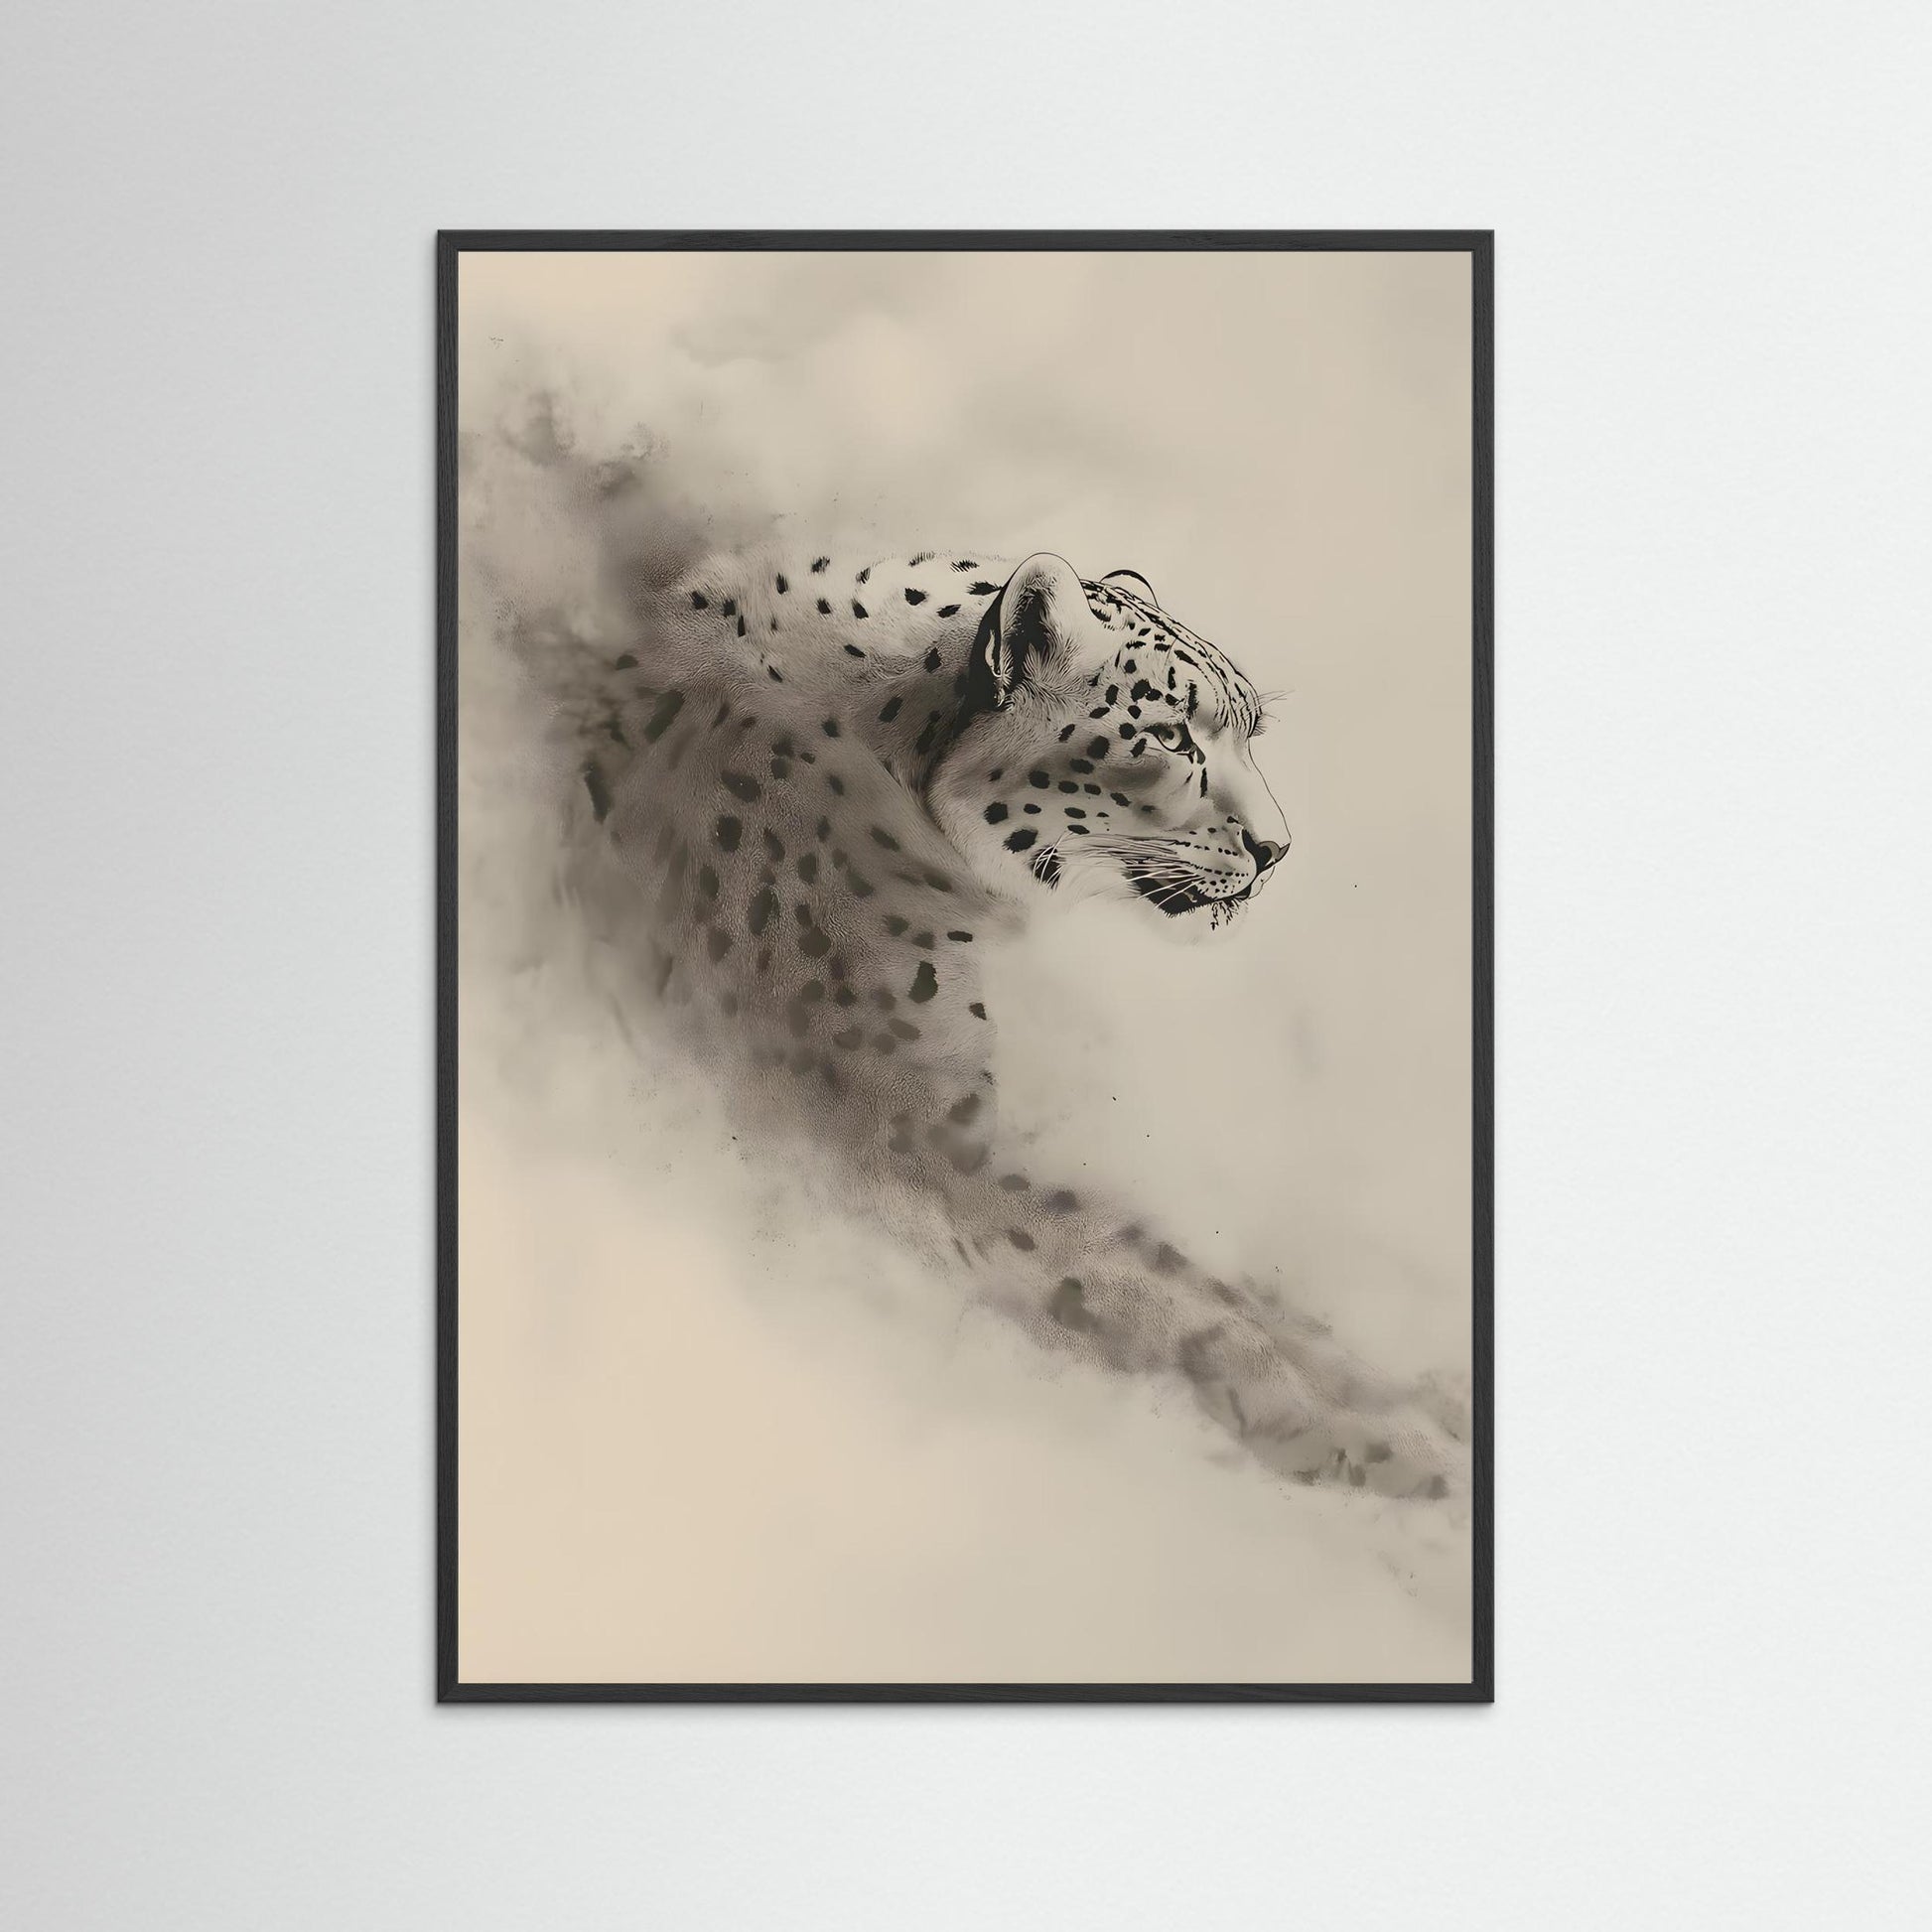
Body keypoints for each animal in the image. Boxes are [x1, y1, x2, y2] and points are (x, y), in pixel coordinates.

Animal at [489, 457, 1467, 1504]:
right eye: (1173, 736)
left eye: (1248, 732)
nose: (1277, 849)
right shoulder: (906, 1129)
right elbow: (1149, 1289)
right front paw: (1396, 1445)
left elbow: (1194, 1274)